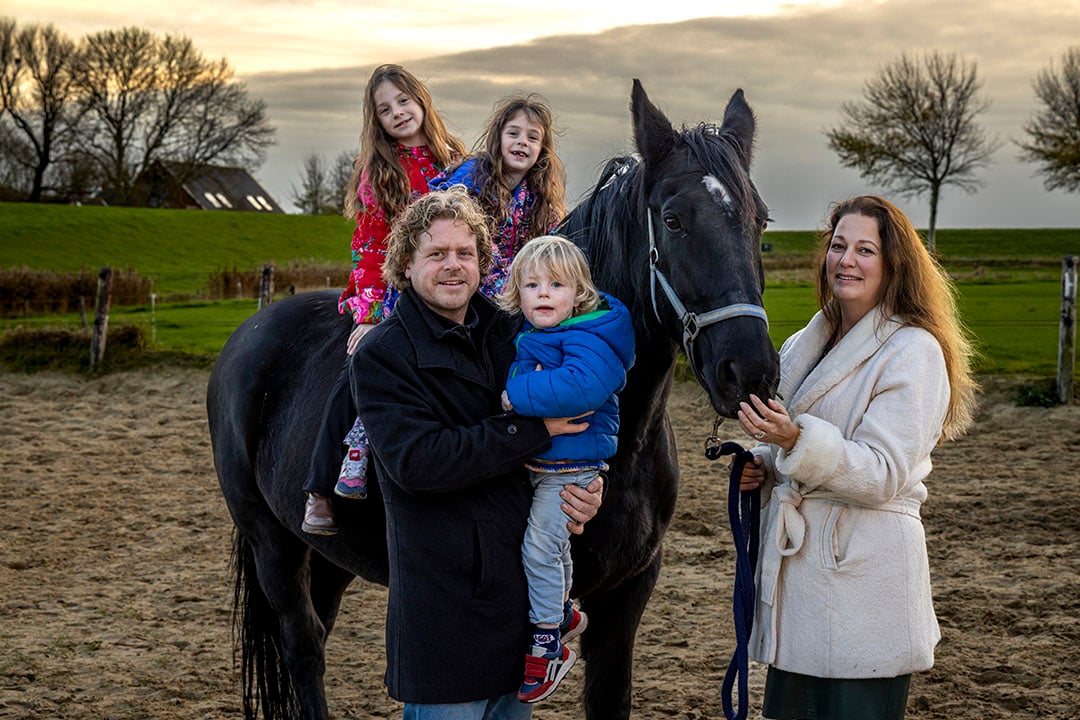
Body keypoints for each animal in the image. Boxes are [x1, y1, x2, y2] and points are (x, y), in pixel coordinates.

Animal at [206, 80, 777, 720]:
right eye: (674, 220)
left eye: (760, 223)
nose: (750, 370)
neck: (622, 448)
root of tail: (250, 333)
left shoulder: (626, 595)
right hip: (271, 541)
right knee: (301, 645)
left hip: (327, 555)